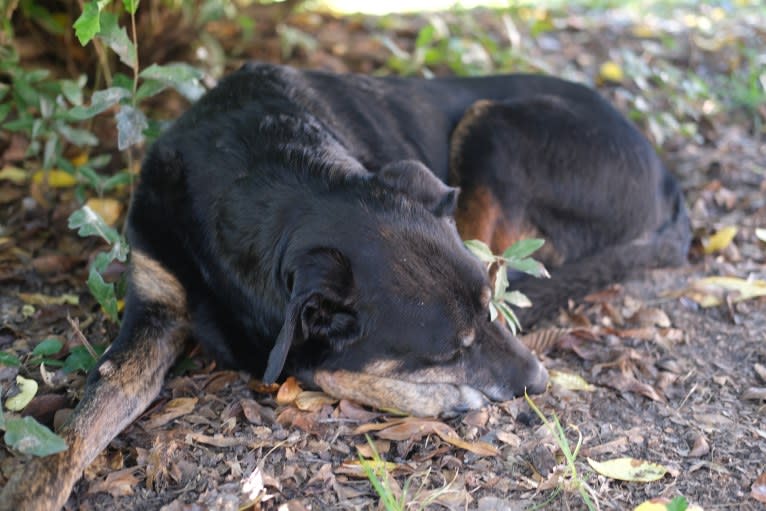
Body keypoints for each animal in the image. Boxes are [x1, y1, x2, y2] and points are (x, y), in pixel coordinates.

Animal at [4, 64, 688, 511]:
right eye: (452, 348)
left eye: (487, 313)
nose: (540, 383)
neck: (268, 182)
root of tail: (669, 179)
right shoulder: (152, 307)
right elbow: (74, 427)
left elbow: (323, 367)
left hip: (492, 127)